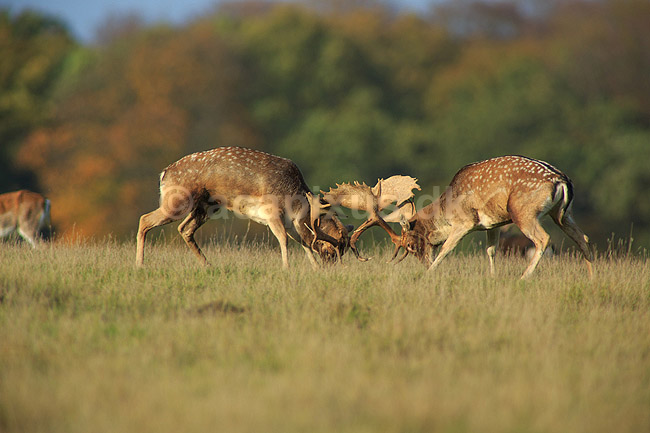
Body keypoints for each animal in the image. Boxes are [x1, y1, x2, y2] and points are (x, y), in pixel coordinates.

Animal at [135, 146, 351, 269]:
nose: (331, 269)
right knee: (144, 219)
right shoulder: (272, 211)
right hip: (177, 201)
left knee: (184, 229)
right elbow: (283, 240)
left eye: (344, 251)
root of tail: (164, 174)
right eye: (331, 250)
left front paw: (314, 268)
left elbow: (304, 243)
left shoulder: (292, 224)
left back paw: (208, 265)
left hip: (207, 206)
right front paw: (286, 268)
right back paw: (139, 264)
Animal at [325, 156, 593, 279]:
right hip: (562, 214)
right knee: (583, 239)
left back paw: (524, 277)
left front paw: (430, 274)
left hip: (523, 211)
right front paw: (492, 277)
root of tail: (562, 180)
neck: (447, 207)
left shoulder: (465, 223)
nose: (422, 264)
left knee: (543, 238)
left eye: (410, 245)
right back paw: (591, 278)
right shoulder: (493, 224)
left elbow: (445, 250)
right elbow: (491, 250)